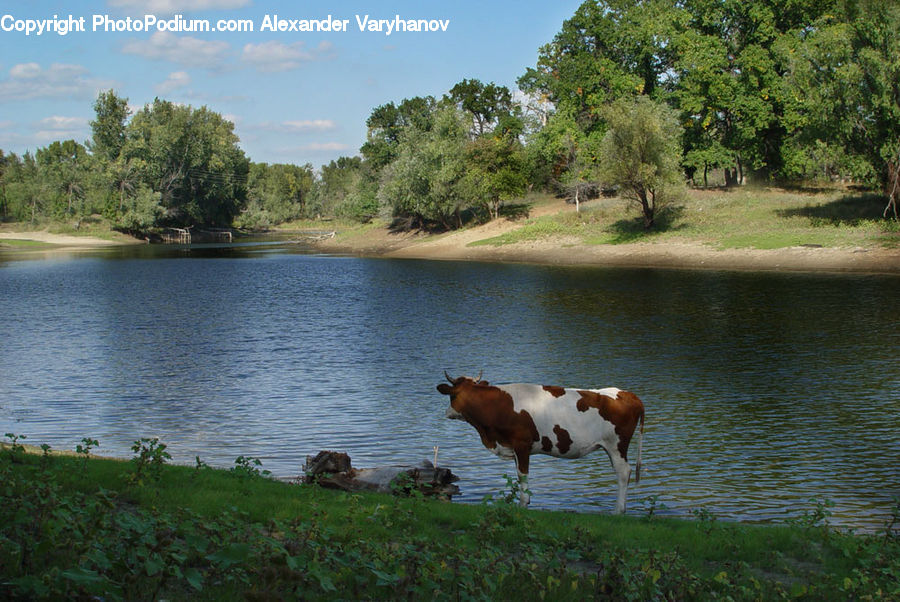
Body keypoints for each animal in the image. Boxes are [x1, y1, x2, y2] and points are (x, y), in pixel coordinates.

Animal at [437, 372, 645, 513]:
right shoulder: (514, 448)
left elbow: (523, 476)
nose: (446, 412)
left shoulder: (522, 444)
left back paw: (618, 510)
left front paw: (523, 505)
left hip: (617, 445)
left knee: (623, 472)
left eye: (452, 396)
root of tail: (628, 394)